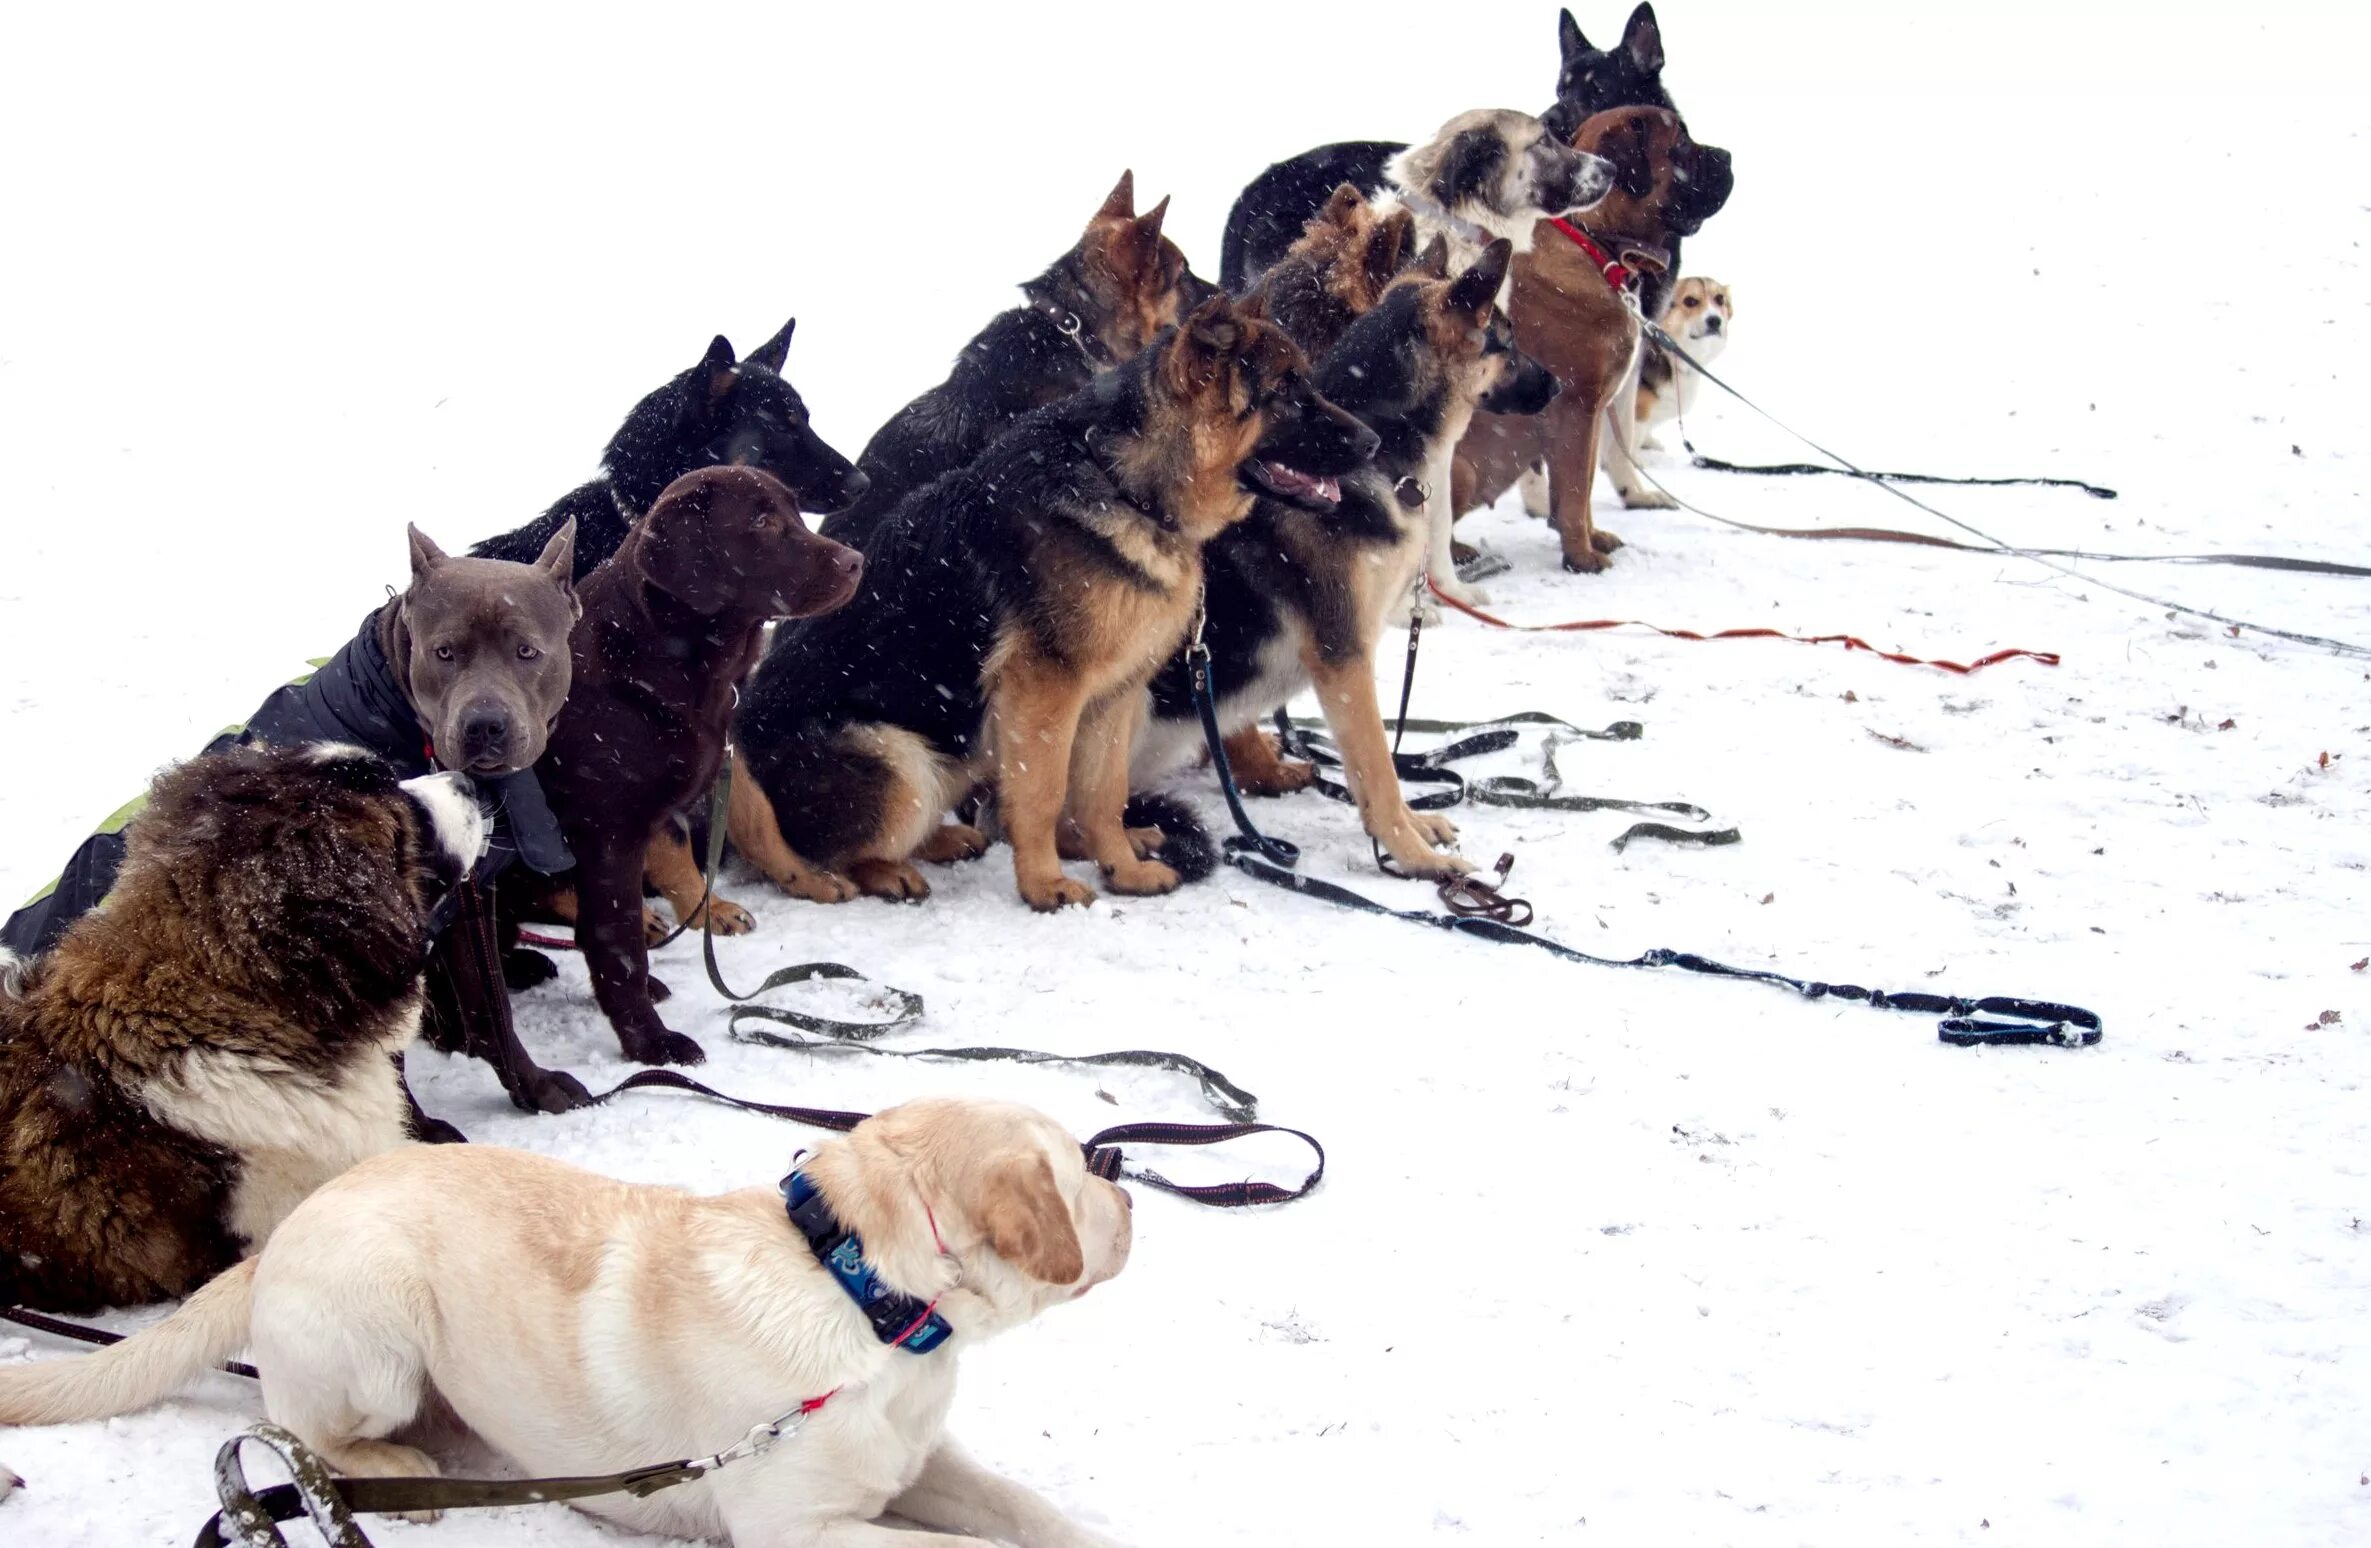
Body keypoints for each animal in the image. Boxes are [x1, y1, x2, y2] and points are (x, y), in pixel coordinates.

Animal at [0, 1090, 1138, 1545]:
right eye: (1080, 1167)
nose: (1127, 1177)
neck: (862, 1294)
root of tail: (284, 1233)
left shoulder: (917, 1460)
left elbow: (1022, 1509)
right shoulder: (798, 1528)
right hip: (375, 1323)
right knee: (304, 1431)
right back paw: (402, 1470)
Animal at [1451, 104, 1735, 573]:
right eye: (1680, 143)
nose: (1728, 156)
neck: (1594, 241)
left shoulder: (1596, 409)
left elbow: (1581, 488)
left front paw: (1592, 538)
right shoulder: (1577, 406)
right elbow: (1573, 492)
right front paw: (1581, 556)